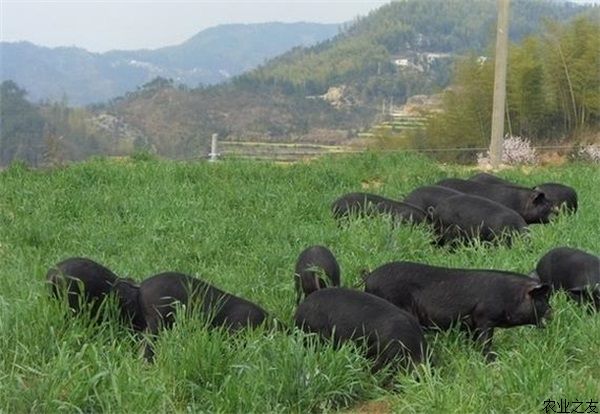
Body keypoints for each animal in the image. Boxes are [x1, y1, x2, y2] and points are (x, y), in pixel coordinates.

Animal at [364, 262, 552, 360]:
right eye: (541, 298)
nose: (552, 311)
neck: (510, 296)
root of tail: (368, 279)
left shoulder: (471, 324)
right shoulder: (484, 318)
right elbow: (486, 340)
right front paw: (491, 358)